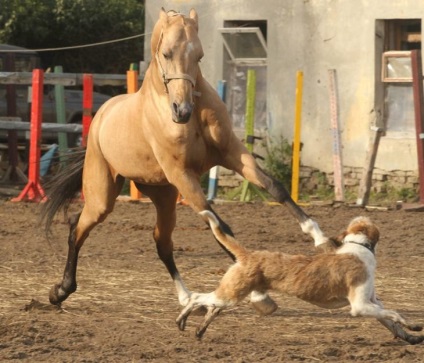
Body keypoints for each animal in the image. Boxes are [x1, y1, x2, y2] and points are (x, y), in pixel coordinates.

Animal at [41, 7, 324, 316]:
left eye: (199, 56)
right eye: (166, 53)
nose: (182, 111)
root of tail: (102, 115)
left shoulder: (232, 154)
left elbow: (275, 188)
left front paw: (320, 237)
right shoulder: (183, 175)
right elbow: (220, 229)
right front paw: (259, 295)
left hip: (164, 196)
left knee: (162, 244)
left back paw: (187, 299)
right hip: (102, 198)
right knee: (77, 228)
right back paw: (60, 291)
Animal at [176, 210, 424, 344]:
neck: (357, 246)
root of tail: (248, 255)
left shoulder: (372, 303)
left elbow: (391, 320)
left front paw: (412, 334)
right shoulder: (360, 306)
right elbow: (394, 314)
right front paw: (409, 325)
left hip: (230, 295)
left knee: (211, 307)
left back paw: (199, 330)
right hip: (230, 295)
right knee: (197, 297)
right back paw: (182, 320)